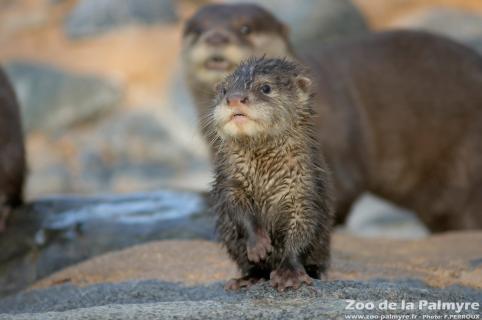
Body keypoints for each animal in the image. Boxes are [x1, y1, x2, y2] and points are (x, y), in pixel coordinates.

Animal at [212, 56, 336, 292]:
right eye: (224, 90)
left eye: (265, 88)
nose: (234, 98)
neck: (265, 173)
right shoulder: (231, 179)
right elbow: (236, 209)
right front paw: (258, 244)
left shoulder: (304, 188)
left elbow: (303, 229)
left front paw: (289, 274)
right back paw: (248, 278)